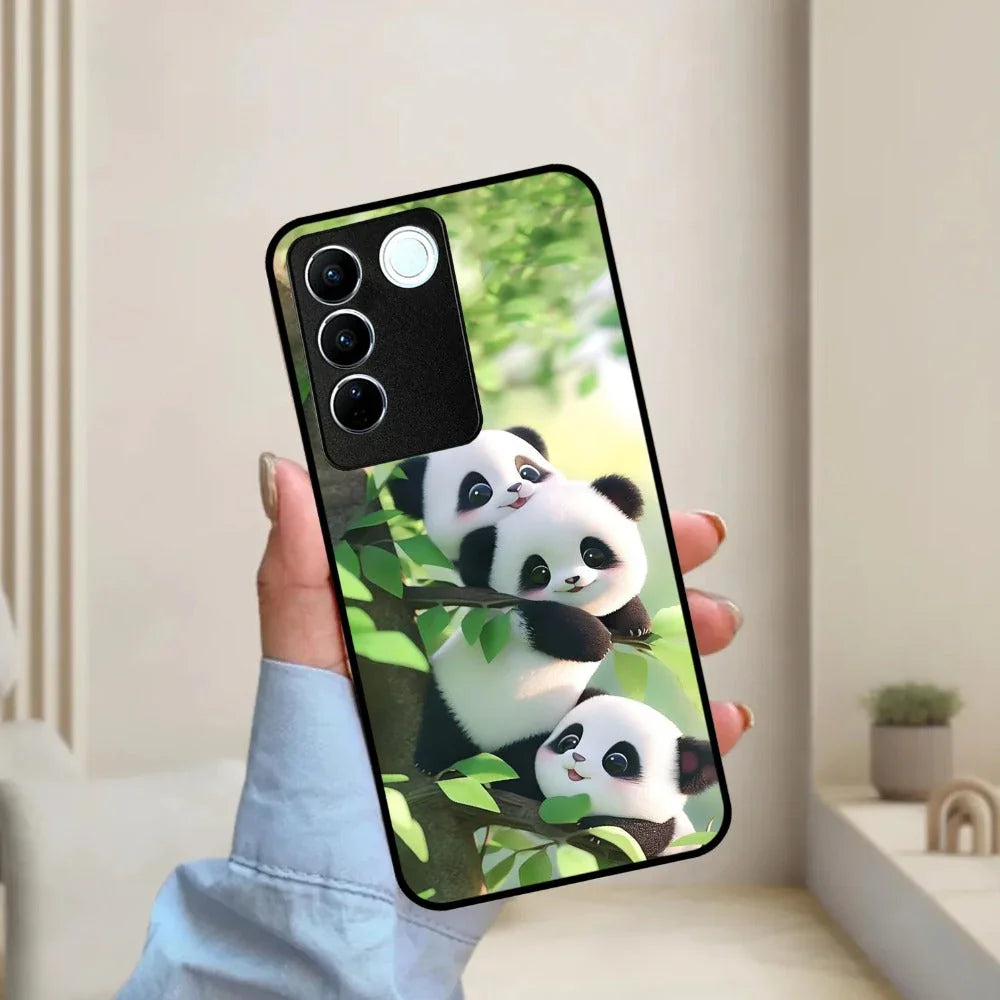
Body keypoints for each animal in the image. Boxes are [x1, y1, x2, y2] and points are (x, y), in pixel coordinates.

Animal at [415, 475, 653, 790]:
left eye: (592, 553)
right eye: (539, 571)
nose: (573, 580)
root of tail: (486, 749)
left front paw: (636, 623)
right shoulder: (506, 611)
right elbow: (545, 622)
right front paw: (598, 640)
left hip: (537, 733)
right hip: (451, 697)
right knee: (440, 726)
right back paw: (429, 761)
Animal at [534, 692, 719, 858]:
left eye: (616, 762)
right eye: (569, 742)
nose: (577, 757)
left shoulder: (667, 833)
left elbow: (643, 837)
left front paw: (596, 828)